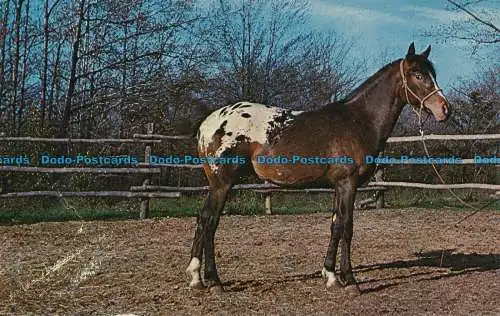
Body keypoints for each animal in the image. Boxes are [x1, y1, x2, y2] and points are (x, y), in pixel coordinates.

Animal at [186, 41, 452, 294]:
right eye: (417, 74)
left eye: (432, 73)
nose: (445, 109)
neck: (358, 121)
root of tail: (208, 123)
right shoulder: (348, 183)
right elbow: (347, 227)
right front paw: (350, 281)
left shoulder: (339, 186)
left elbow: (335, 225)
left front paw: (331, 275)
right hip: (222, 183)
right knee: (209, 221)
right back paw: (212, 280)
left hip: (218, 184)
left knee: (203, 219)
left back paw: (197, 278)